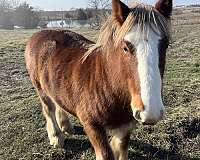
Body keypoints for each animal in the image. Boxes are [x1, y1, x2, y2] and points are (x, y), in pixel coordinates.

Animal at [24, 0, 172, 160]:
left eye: (165, 45)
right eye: (125, 47)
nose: (151, 112)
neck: (107, 85)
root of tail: (38, 34)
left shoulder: (125, 127)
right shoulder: (93, 127)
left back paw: (66, 126)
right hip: (40, 88)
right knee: (48, 108)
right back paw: (56, 137)